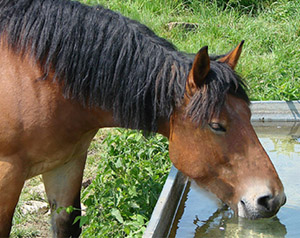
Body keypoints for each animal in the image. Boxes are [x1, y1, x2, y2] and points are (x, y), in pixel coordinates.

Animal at [0, 0, 286, 237]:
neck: (36, 76)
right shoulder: (8, 174)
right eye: (216, 125)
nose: (272, 199)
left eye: (250, 114)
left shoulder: (66, 163)